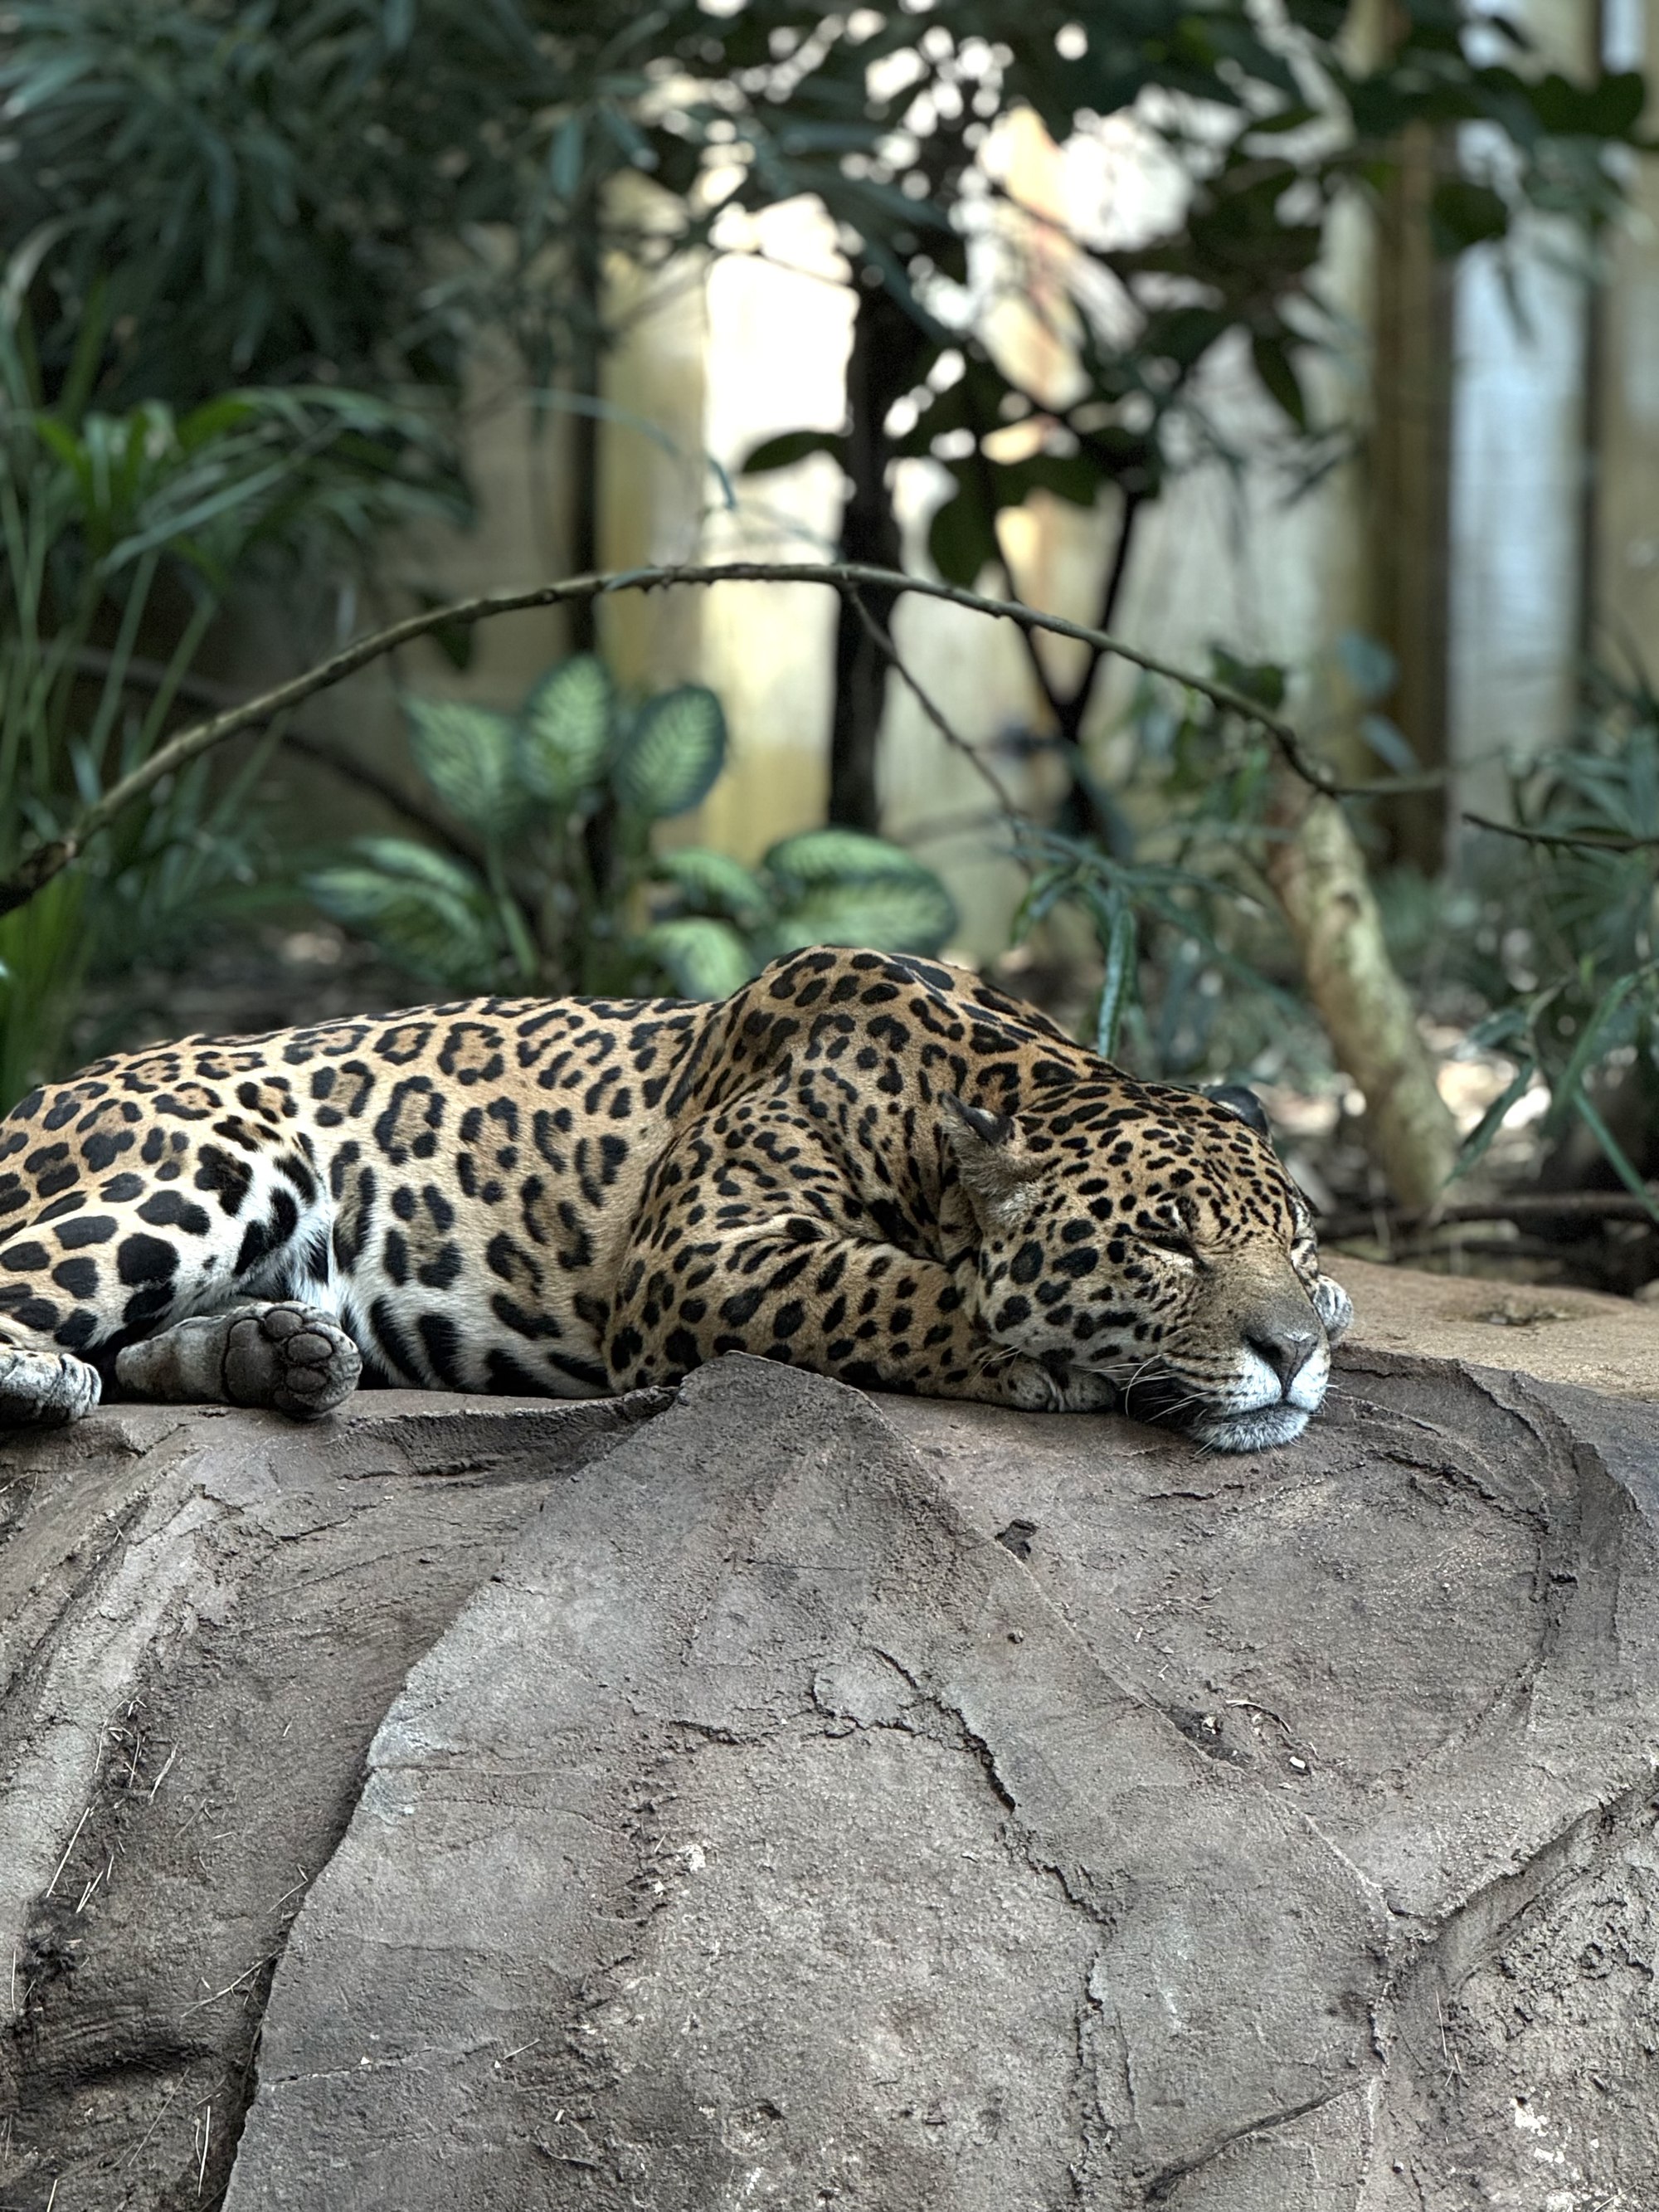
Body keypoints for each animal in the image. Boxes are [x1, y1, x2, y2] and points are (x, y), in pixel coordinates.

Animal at [0, 947, 1351, 1453]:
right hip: (222, 1146)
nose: (1287, 1351)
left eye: (1293, 1239)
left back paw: (279, 1353)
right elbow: (883, 1285)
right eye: (1165, 1241)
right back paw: (52, 1379)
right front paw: (1039, 1350)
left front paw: (1332, 1315)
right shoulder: (698, 1251)